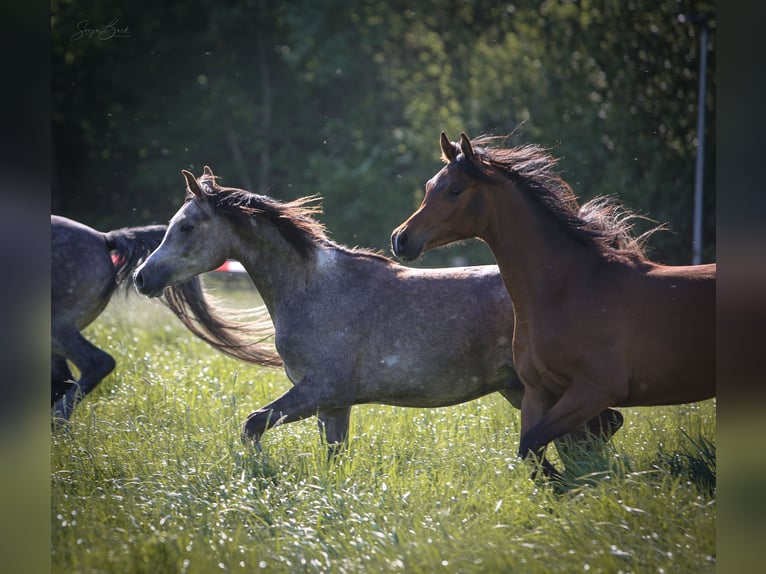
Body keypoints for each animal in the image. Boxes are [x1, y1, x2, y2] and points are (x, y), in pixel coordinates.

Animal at [133, 166, 623, 457]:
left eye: (187, 226)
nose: (141, 277)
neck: (314, 289)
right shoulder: (332, 405)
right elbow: (332, 458)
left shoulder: (320, 390)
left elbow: (252, 425)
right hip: (517, 388)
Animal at [391, 132, 716, 478]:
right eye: (429, 186)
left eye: (454, 190)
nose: (400, 238)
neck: (568, 290)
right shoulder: (539, 390)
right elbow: (530, 453)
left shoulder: (596, 390)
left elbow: (537, 443)